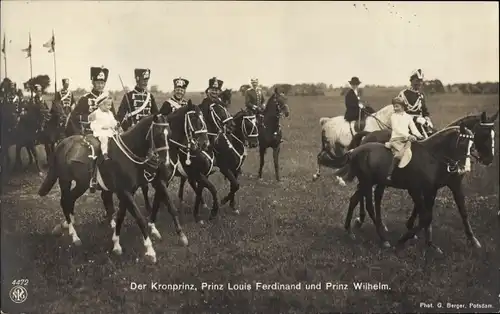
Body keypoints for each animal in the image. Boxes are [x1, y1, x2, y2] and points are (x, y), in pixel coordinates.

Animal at [37, 114, 174, 264]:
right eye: (159, 135)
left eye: (169, 134)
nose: (167, 164)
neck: (127, 155)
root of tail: (61, 144)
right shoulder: (124, 192)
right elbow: (139, 218)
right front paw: (150, 251)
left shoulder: (126, 192)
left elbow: (120, 216)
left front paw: (116, 244)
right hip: (65, 181)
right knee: (64, 201)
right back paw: (74, 236)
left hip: (81, 183)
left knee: (70, 200)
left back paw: (70, 225)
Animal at [334, 124, 474, 254]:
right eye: (462, 143)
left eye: (472, 146)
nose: (464, 169)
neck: (431, 157)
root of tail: (354, 151)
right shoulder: (415, 190)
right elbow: (425, 217)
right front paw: (403, 240)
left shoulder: (431, 190)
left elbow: (428, 216)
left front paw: (430, 244)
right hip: (367, 183)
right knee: (369, 205)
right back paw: (382, 238)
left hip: (367, 183)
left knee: (355, 200)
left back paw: (350, 230)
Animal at [346, 110, 498, 245]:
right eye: (484, 135)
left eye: (493, 135)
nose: (489, 159)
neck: (436, 155)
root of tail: (369, 135)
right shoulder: (422, 188)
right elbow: (425, 212)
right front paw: (415, 234)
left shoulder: (449, 185)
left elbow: (461, 210)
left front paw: (472, 239)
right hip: (368, 181)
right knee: (365, 199)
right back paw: (365, 224)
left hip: (376, 181)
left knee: (368, 197)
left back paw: (370, 225)